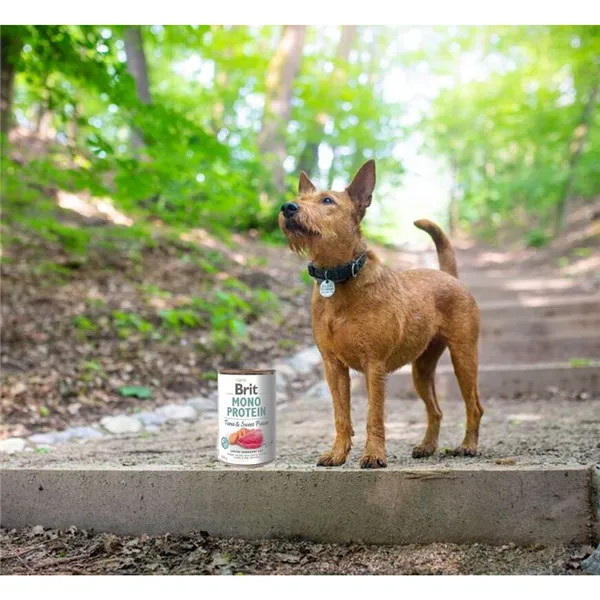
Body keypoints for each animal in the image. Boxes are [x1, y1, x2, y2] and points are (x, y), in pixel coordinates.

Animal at [280, 159, 482, 468]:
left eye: (327, 201)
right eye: (299, 198)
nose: (288, 207)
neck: (337, 278)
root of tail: (449, 276)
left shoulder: (374, 365)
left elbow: (374, 415)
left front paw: (374, 454)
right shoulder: (333, 367)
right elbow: (341, 415)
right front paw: (338, 453)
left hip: (464, 357)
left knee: (474, 405)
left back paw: (468, 445)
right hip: (421, 370)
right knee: (435, 410)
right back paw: (427, 446)